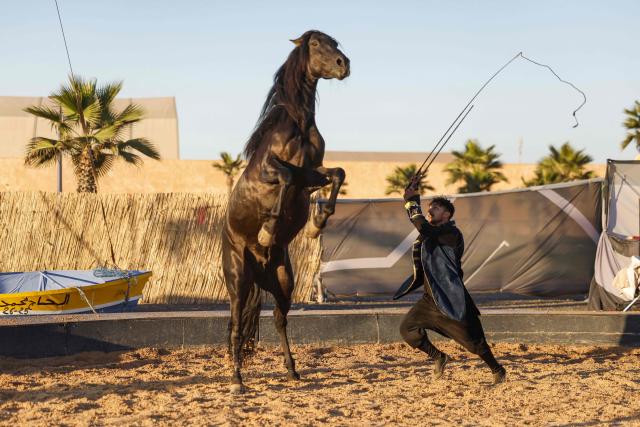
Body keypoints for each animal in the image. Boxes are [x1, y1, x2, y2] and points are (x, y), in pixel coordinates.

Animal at [222, 30, 350, 393]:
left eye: (335, 43)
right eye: (316, 44)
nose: (344, 64)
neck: (297, 124)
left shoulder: (313, 172)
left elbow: (338, 173)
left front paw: (317, 224)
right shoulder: (271, 169)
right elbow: (287, 175)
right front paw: (268, 230)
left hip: (283, 282)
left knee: (279, 321)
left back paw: (292, 371)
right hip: (237, 281)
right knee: (235, 326)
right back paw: (237, 380)